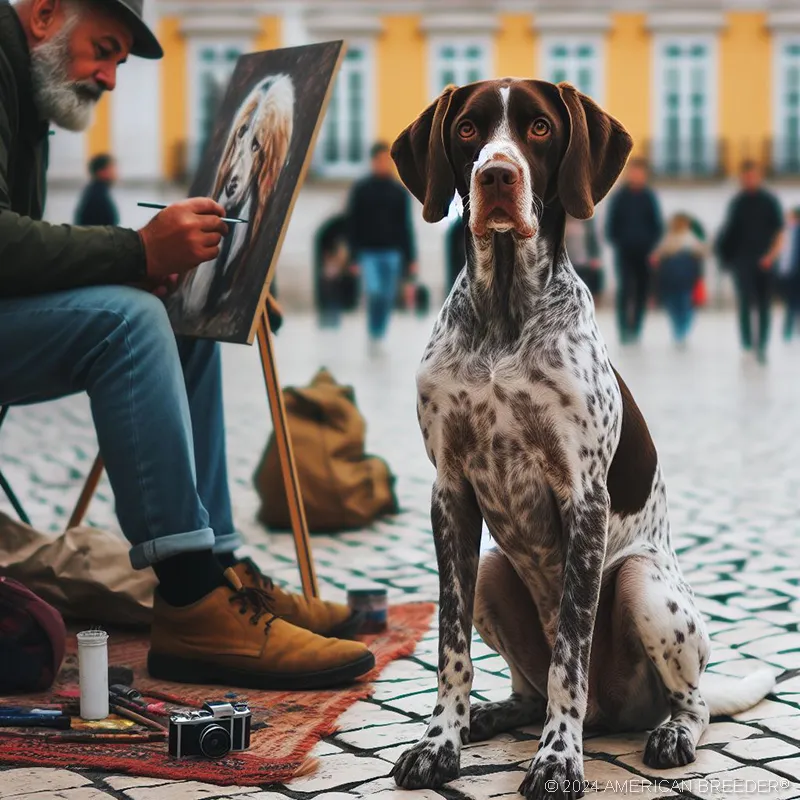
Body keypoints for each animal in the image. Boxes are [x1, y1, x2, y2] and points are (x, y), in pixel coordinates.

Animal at [388, 76, 776, 800]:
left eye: (539, 128)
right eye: (467, 129)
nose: (497, 175)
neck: (505, 318)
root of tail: (613, 714)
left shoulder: (583, 498)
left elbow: (571, 649)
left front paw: (557, 759)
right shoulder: (449, 494)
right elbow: (452, 648)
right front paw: (439, 741)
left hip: (645, 584)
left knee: (688, 700)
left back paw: (670, 733)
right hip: (491, 569)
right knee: (529, 686)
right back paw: (495, 714)